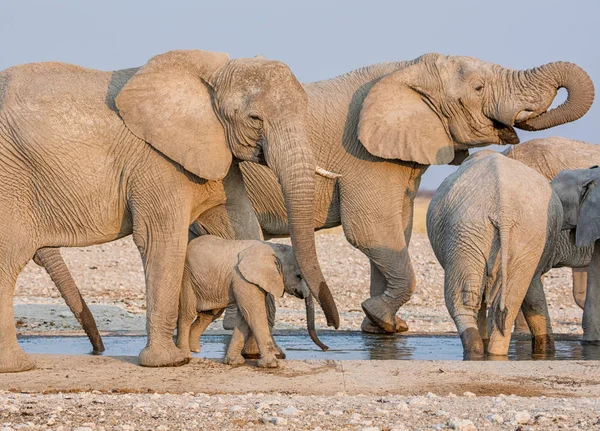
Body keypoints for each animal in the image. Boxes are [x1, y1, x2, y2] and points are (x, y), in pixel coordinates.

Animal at [177, 235, 328, 370]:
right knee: (187, 313)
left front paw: (234, 362)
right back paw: (187, 354)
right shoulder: (243, 279)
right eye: (299, 276)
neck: (274, 249)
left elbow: (244, 316)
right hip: (187, 278)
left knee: (208, 315)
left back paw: (195, 349)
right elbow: (253, 313)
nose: (326, 348)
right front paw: (271, 364)